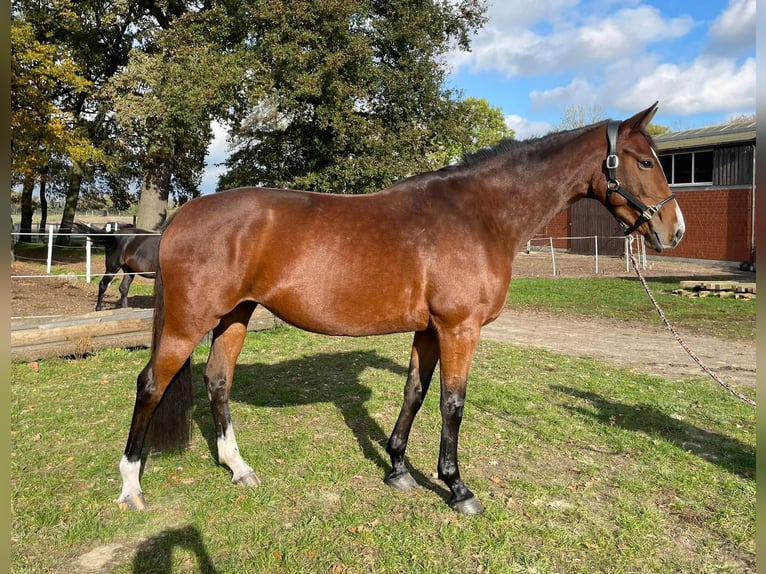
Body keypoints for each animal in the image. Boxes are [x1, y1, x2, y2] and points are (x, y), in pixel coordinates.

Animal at [117, 103, 688, 516]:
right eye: (644, 162)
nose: (674, 230)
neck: (478, 216)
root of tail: (181, 216)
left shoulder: (430, 330)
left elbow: (414, 392)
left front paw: (397, 469)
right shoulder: (460, 329)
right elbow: (452, 404)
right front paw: (457, 488)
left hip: (235, 317)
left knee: (218, 381)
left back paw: (239, 468)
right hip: (189, 323)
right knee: (149, 385)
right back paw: (130, 487)